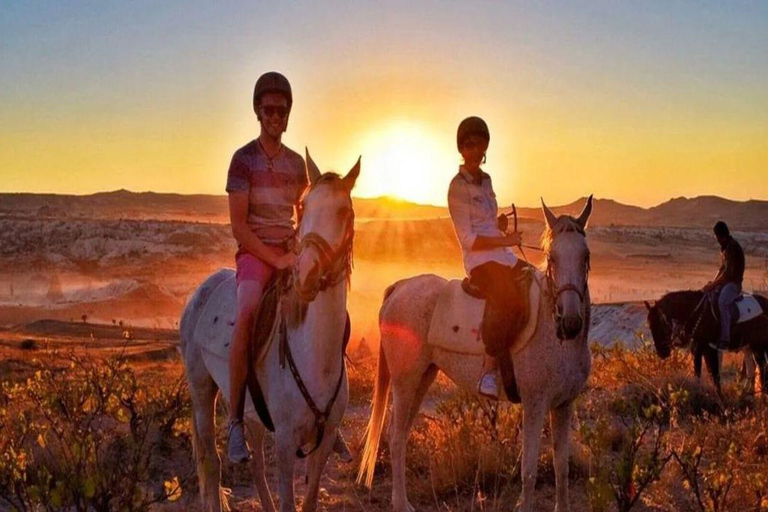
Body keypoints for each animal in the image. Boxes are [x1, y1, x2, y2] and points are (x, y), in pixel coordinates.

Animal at [180, 153, 360, 512]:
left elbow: (309, 500)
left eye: (343, 212)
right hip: (202, 391)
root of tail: (200, 292)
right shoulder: (286, 443)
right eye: (304, 206)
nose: (306, 274)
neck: (314, 355)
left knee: (256, 467)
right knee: (211, 462)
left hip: (252, 415)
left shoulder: (324, 442)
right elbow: (288, 500)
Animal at [358, 196, 592, 512]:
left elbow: (561, 466)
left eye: (585, 257)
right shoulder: (535, 404)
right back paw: (401, 503)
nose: (570, 322)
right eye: (552, 257)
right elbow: (529, 471)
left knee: (402, 433)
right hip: (405, 380)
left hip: (423, 377)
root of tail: (399, 287)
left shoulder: (564, 405)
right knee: (395, 436)